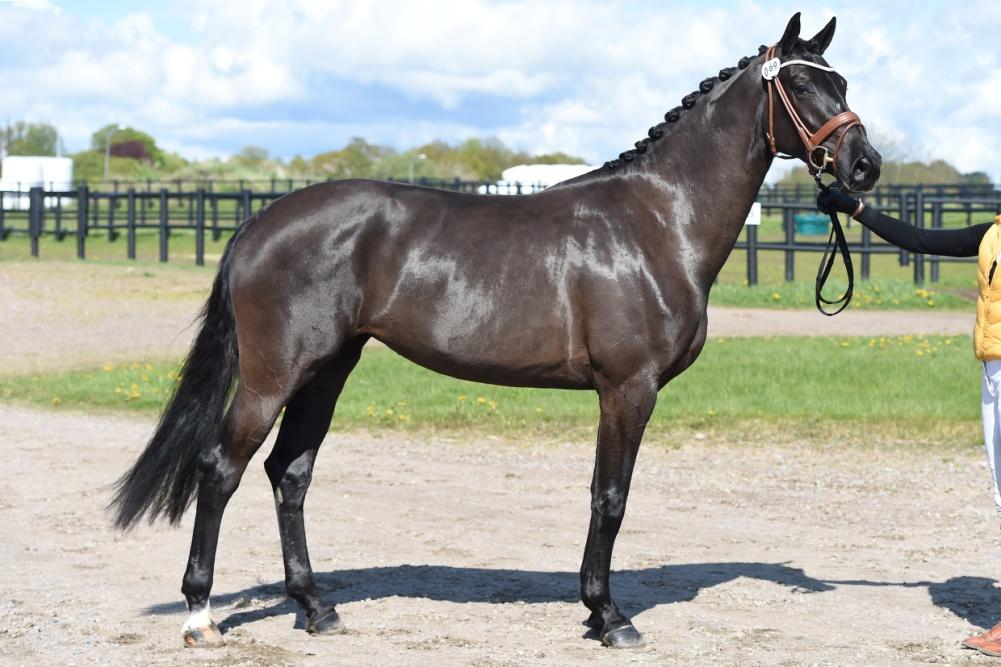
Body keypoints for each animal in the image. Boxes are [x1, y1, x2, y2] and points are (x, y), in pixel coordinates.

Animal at [107, 9, 876, 644]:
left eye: (840, 81)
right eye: (799, 84)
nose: (864, 165)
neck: (657, 221)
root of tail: (260, 221)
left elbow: (604, 497)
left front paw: (595, 610)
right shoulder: (627, 388)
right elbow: (610, 499)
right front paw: (609, 616)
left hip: (328, 371)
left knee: (288, 473)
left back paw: (316, 608)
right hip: (275, 375)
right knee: (221, 469)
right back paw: (201, 616)